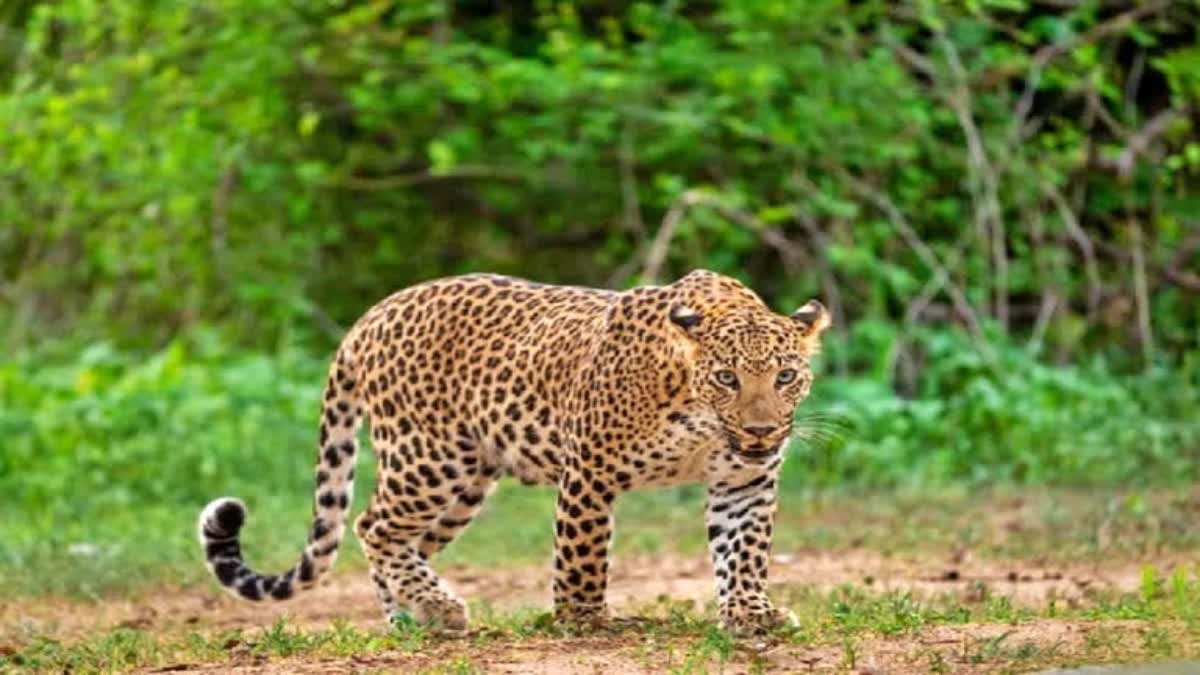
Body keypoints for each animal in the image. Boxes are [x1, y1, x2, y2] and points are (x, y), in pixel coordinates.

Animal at [199, 266, 835, 629]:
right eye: (727, 378)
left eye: (785, 377)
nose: (761, 430)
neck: (700, 416)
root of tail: (368, 318)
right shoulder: (589, 471)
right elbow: (583, 557)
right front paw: (585, 621)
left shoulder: (744, 481)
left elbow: (744, 552)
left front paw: (750, 614)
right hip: (428, 458)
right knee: (372, 526)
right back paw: (435, 609)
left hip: (465, 482)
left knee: (400, 542)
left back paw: (412, 617)